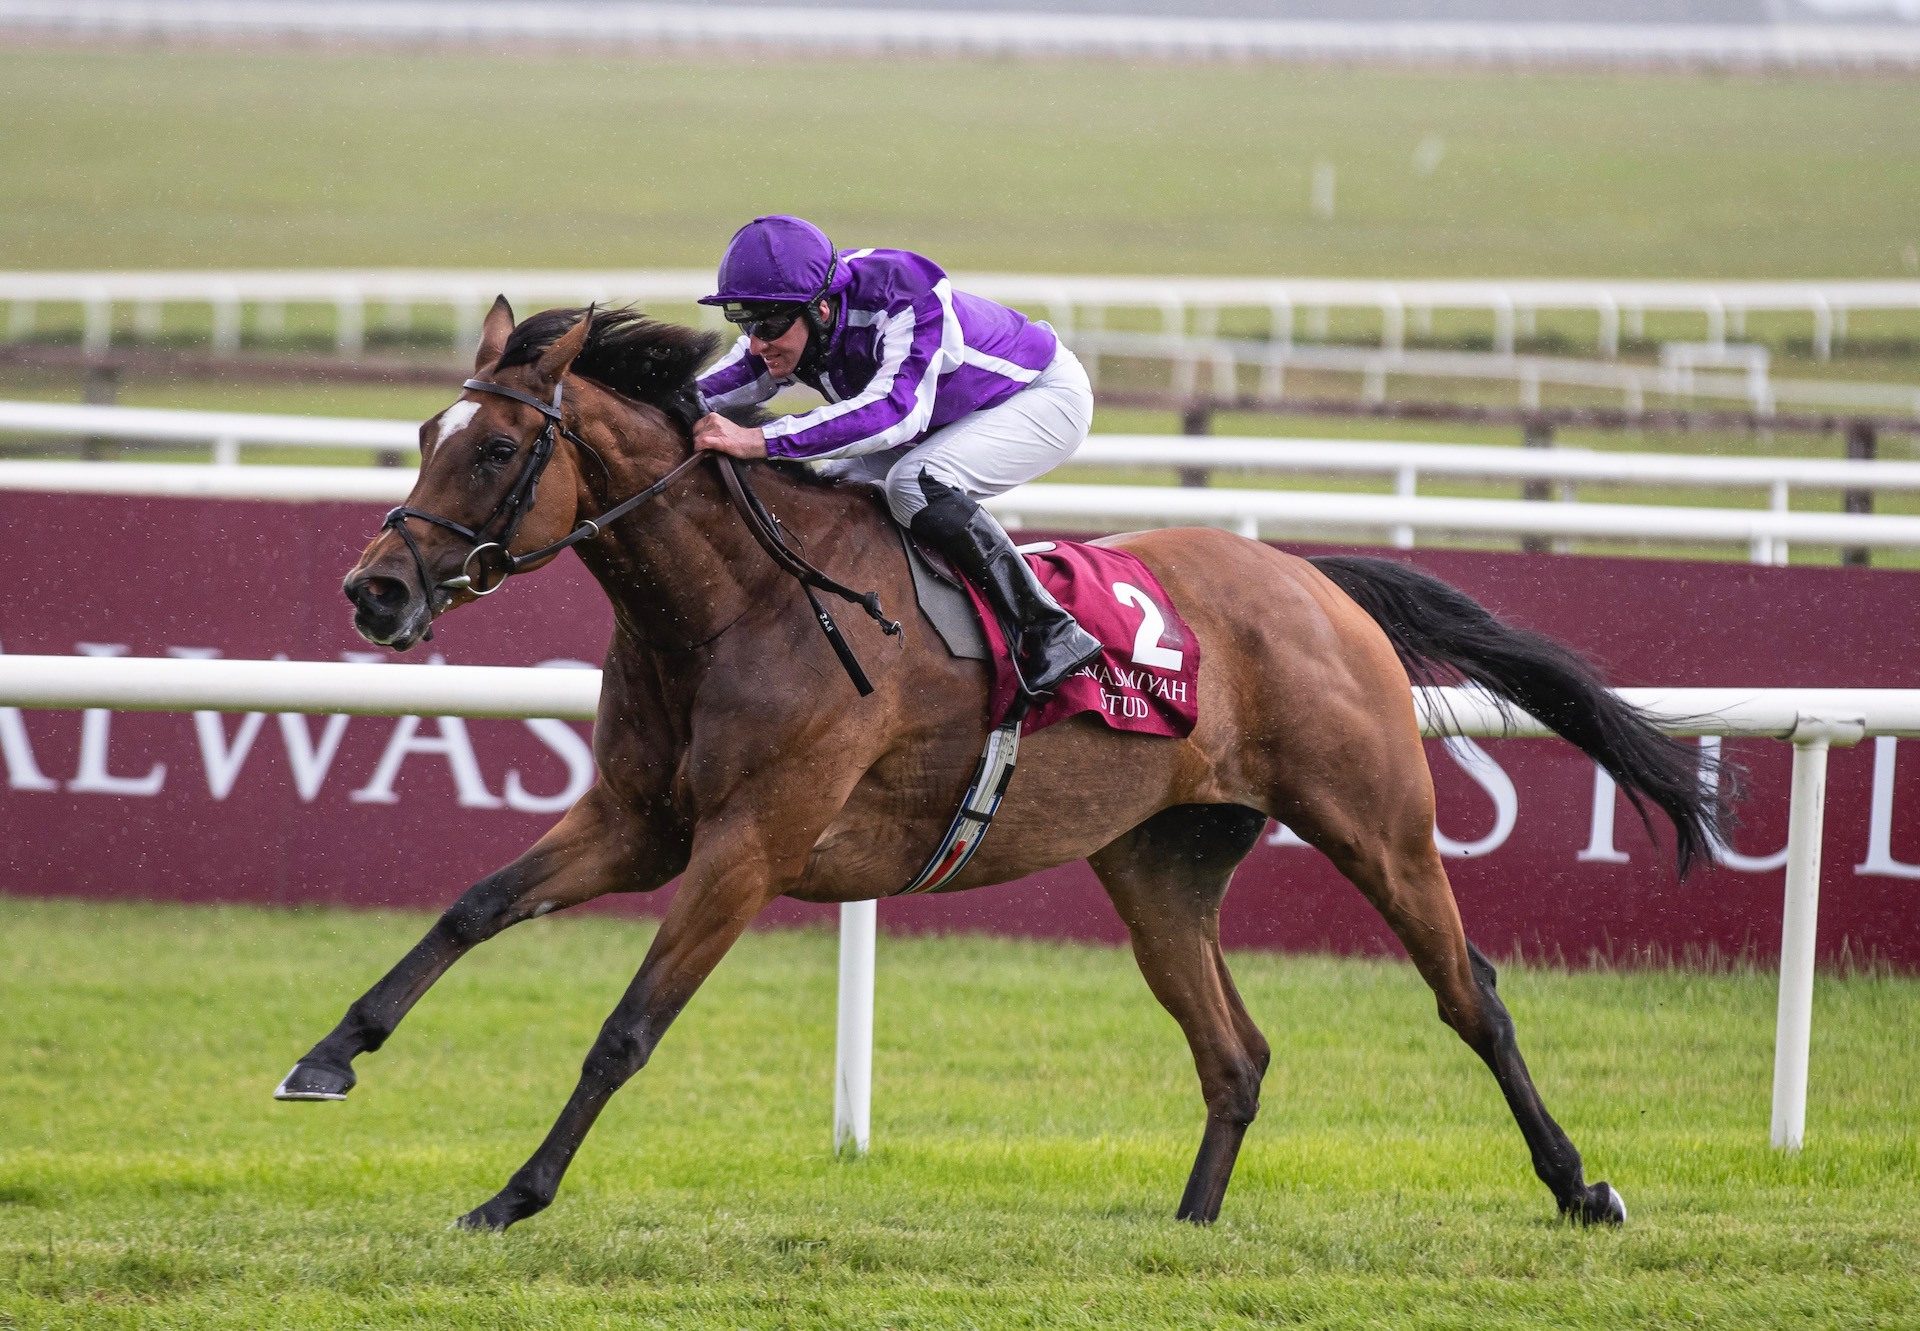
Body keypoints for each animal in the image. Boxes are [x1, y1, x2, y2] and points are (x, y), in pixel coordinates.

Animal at [280, 295, 1728, 1229]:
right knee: (1235, 1050)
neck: (735, 601)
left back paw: (1582, 1185)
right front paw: (329, 1054)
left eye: (496, 447)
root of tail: (1316, 579)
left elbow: (627, 1026)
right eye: (427, 431)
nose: (374, 591)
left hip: (1378, 820)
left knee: (1472, 995)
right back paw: (1188, 1227)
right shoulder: (641, 817)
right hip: (1159, 866)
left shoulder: (751, 843)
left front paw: (513, 1192)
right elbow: (471, 907)